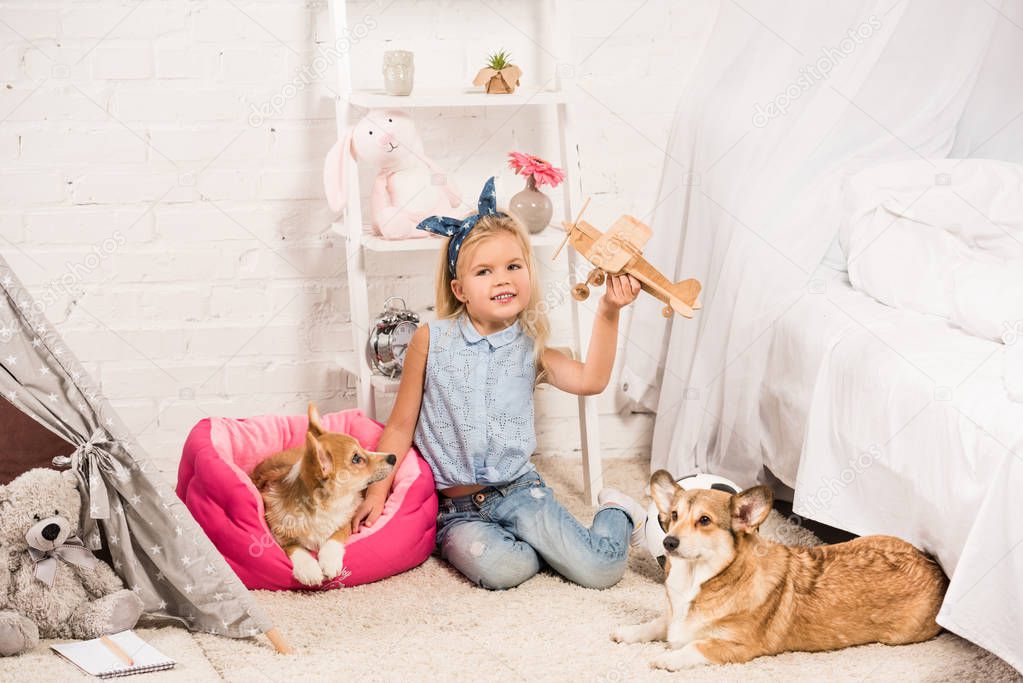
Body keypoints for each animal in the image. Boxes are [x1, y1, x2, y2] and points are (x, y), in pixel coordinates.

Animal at [250, 404, 394, 588]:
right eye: (356, 458)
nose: (393, 457)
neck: (323, 506)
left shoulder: (346, 521)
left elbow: (334, 536)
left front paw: (329, 562)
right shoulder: (280, 536)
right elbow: (295, 548)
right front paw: (308, 570)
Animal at [321, 109, 462, 240]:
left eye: (390, 120)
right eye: (370, 132)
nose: (386, 138)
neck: (404, 166)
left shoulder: (424, 160)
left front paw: (456, 198)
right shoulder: (381, 180)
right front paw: (377, 230)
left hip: (442, 208)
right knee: (391, 219)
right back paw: (421, 232)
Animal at [609, 472, 945, 670]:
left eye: (704, 521)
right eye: (675, 515)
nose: (668, 542)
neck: (699, 578)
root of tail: (936, 568)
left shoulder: (736, 647)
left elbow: (695, 647)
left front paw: (665, 658)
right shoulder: (672, 618)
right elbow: (655, 624)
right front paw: (626, 632)